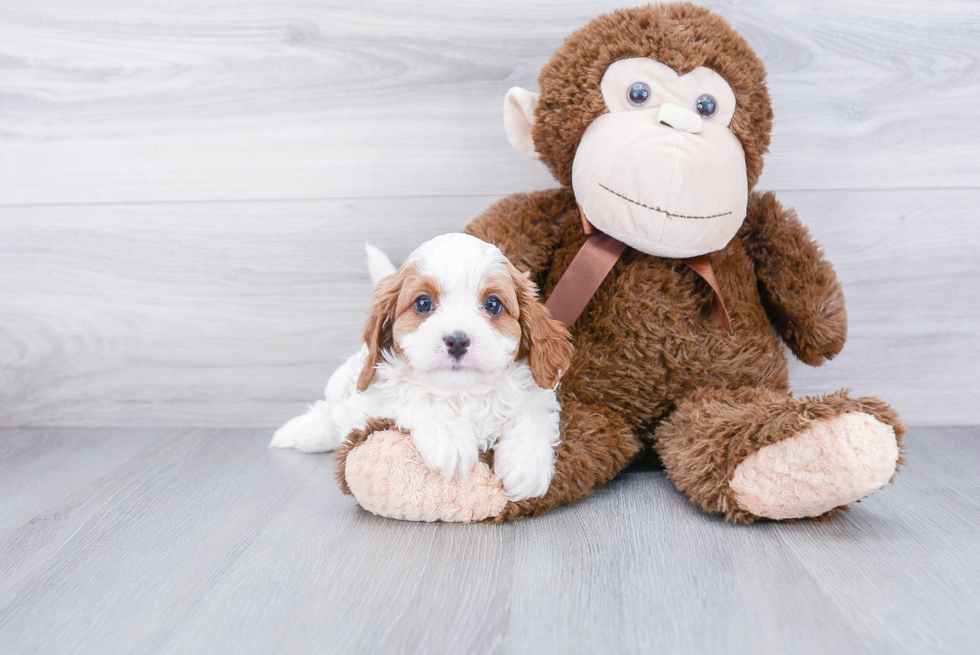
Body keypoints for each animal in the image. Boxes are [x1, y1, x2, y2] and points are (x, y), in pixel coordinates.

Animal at [270, 233, 576, 500]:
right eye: (423, 303)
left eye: (493, 304)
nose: (457, 340)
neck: (462, 393)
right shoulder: (373, 395)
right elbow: (413, 395)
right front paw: (450, 437)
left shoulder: (535, 389)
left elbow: (529, 407)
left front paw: (527, 465)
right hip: (340, 383)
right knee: (331, 414)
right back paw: (303, 433)